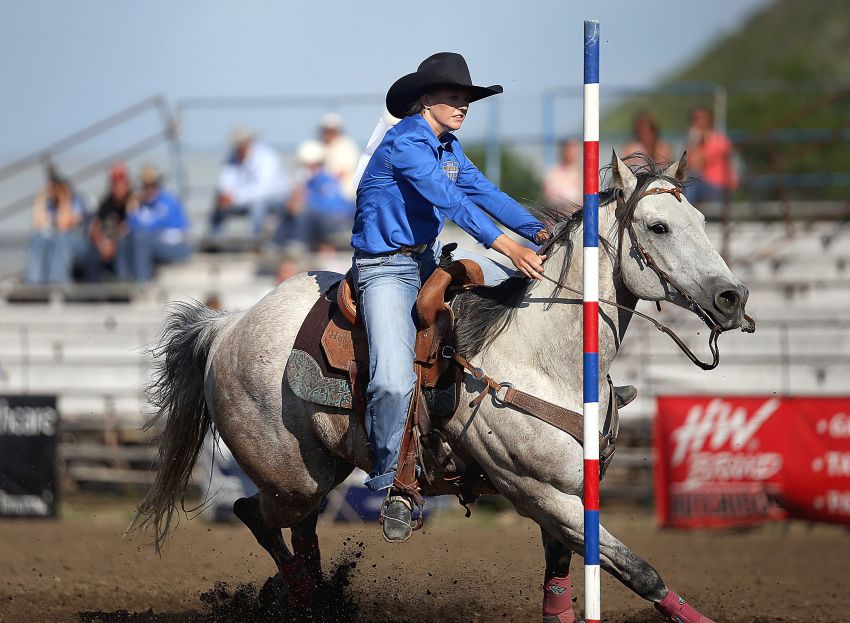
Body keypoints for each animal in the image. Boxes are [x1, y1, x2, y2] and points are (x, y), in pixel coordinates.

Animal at [134, 155, 748, 623]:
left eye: (699, 217)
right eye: (659, 227)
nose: (732, 298)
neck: (542, 358)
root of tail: (227, 324)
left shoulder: (566, 492)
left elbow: (560, 582)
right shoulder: (536, 491)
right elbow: (641, 570)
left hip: (317, 472)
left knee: (299, 533)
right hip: (291, 478)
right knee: (254, 513)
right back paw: (307, 597)